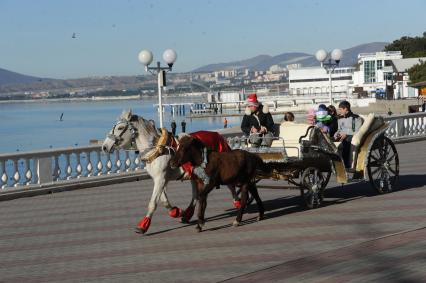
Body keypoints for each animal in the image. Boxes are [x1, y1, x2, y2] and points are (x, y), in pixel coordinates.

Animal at [100, 111, 240, 235]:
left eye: (120, 127)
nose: (104, 147)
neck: (156, 148)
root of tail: (219, 135)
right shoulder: (160, 179)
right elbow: (163, 200)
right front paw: (176, 211)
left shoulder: (161, 178)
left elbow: (153, 203)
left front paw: (143, 225)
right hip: (194, 174)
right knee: (196, 195)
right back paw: (187, 214)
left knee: (231, 186)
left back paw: (237, 204)